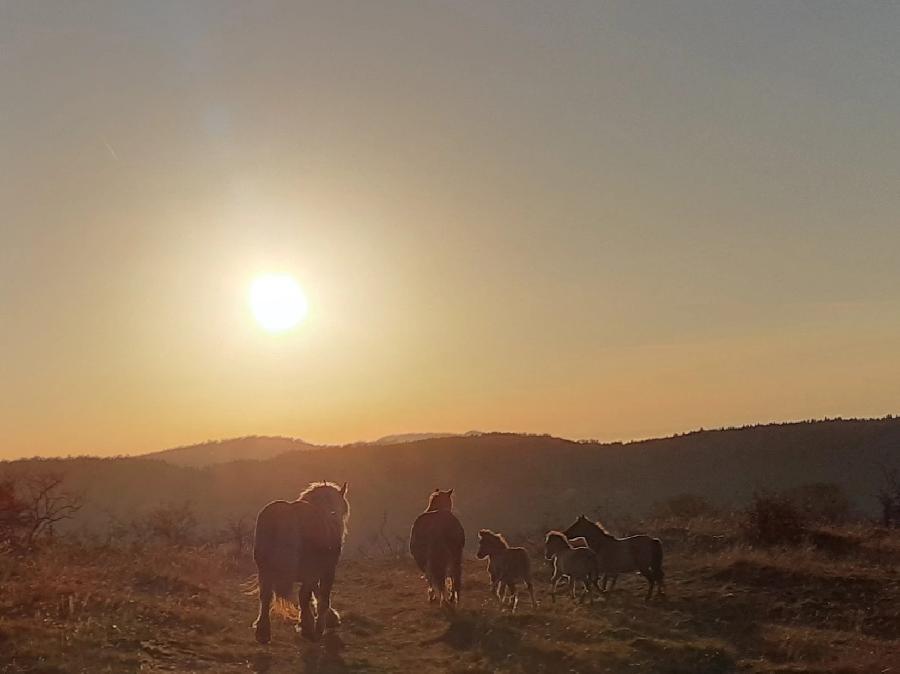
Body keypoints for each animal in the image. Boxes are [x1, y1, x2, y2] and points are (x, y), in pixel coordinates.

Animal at [255, 478, 354, 640]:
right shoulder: (327, 570)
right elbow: (322, 597)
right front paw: (322, 624)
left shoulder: (315, 573)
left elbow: (316, 593)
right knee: (302, 595)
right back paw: (308, 628)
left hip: (264, 571)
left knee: (266, 596)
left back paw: (263, 632)